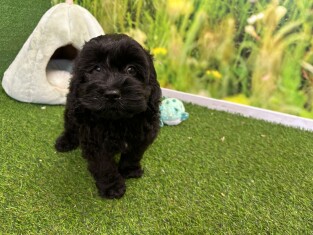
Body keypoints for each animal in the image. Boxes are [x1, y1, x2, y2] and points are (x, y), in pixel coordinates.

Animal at [54, 34, 161, 198]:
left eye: (131, 69)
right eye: (97, 69)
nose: (112, 94)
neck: (117, 121)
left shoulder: (143, 133)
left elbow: (134, 154)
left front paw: (129, 170)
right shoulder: (94, 140)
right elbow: (103, 165)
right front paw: (112, 187)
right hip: (73, 109)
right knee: (70, 125)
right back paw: (65, 142)